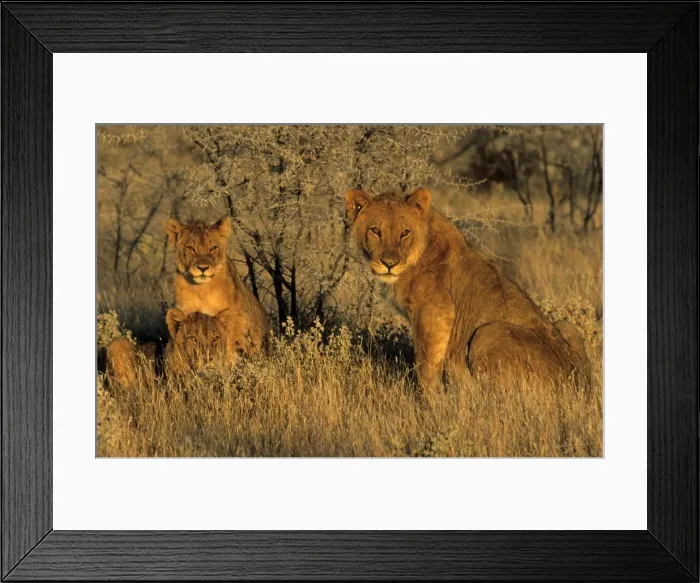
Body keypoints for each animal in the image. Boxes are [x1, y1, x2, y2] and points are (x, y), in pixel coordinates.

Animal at [345, 187, 590, 390]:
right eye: (375, 230)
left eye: (404, 232)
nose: (389, 263)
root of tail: (578, 384)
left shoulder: (435, 313)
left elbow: (425, 367)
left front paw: (430, 404)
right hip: (566, 325)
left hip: (488, 332)